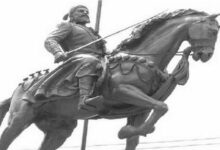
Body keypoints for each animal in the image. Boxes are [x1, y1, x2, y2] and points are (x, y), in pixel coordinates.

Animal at [0, 9, 218, 150]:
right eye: (213, 30)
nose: (206, 55)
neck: (143, 57)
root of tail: (18, 89)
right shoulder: (123, 91)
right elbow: (162, 107)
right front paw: (125, 130)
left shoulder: (141, 109)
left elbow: (144, 127)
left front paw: (128, 131)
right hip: (20, 118)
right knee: (6, 138)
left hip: (59, 129)